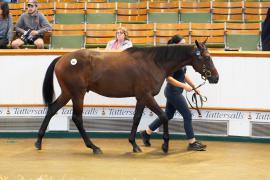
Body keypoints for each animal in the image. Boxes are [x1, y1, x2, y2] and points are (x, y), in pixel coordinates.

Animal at [34, 40, 219, 154]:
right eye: (207, 57)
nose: (215, 78)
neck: (154, 62)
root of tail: (63, 58)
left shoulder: (141, 98)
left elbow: (136, 119)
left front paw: (135, 144)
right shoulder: (146, 96)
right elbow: (164, 116)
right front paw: (165, 145)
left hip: (68, 93)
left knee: (51, 109)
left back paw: (39, 142)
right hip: (77, 94)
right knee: (77, 118)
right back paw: (93, 147)